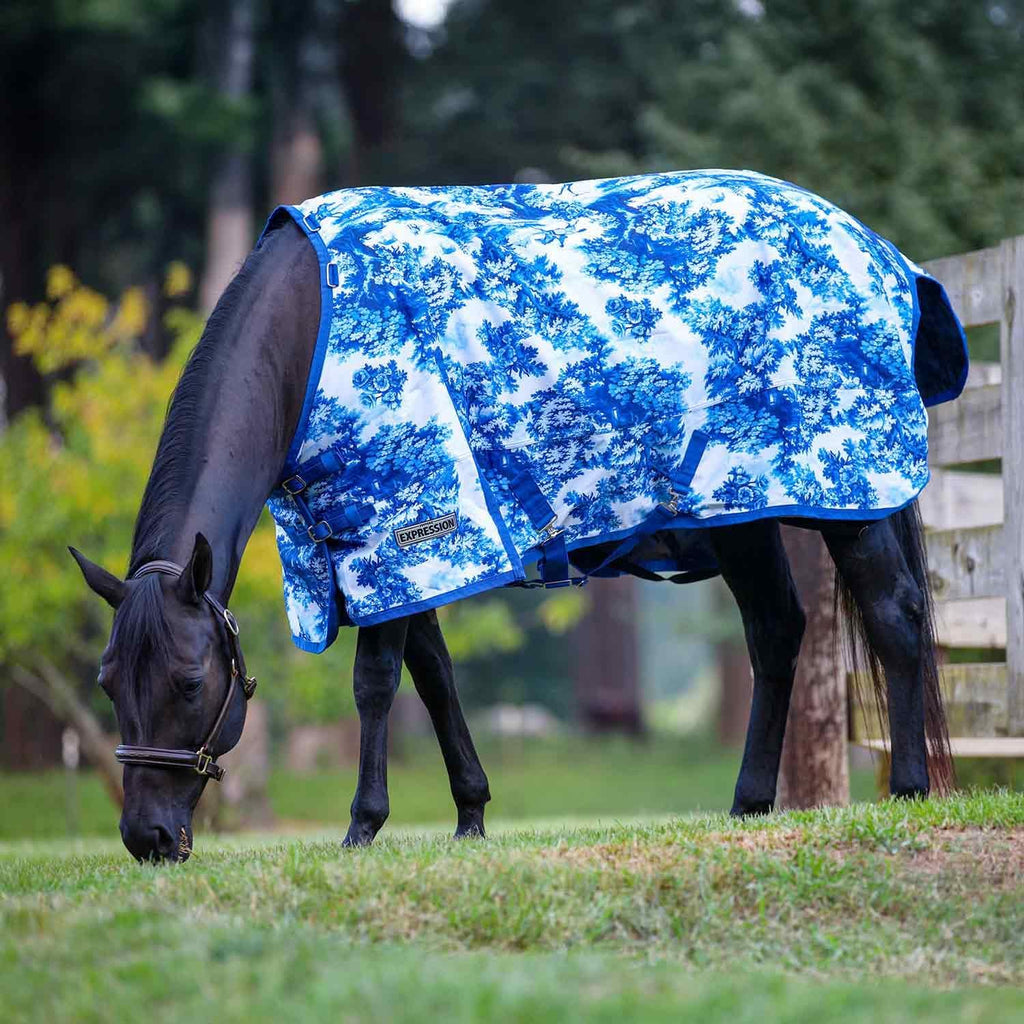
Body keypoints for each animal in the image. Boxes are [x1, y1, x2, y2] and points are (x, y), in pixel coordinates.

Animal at [70, 171, 959, 861]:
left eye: (191, 682)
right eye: (108, 681)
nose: (148, 838)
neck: (309, 327)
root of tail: (880, 254)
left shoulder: (410, 520)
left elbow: (375, 684)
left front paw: (362, 827)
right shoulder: (389, 548)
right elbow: (433, 676)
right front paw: (469, 815)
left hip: (847, 499)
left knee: (894, 617)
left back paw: (909, 793)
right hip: (740, 515)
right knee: (777, 632)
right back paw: (748, 803)